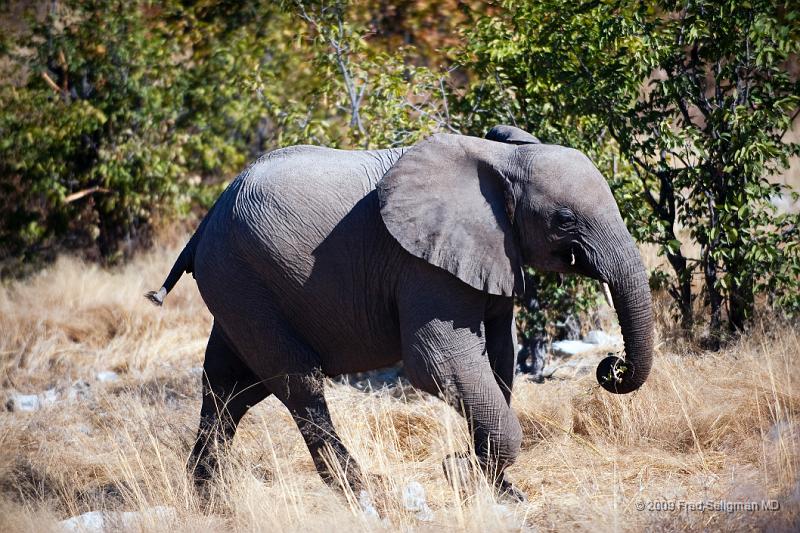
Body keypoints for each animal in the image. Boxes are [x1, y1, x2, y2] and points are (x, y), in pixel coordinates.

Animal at [147, 124, 652, 502]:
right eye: (564, 220)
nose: (611, 365)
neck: (501, 158)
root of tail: (206, 220)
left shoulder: (494, 252)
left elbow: (501, 357)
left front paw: (499, 487)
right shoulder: (421, 265)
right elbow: (439, 363)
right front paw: (463, 474)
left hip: (236, 284)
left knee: (229, 386)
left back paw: (208, 497)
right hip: (242, 277)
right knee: (296, 383)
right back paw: (360, 493)